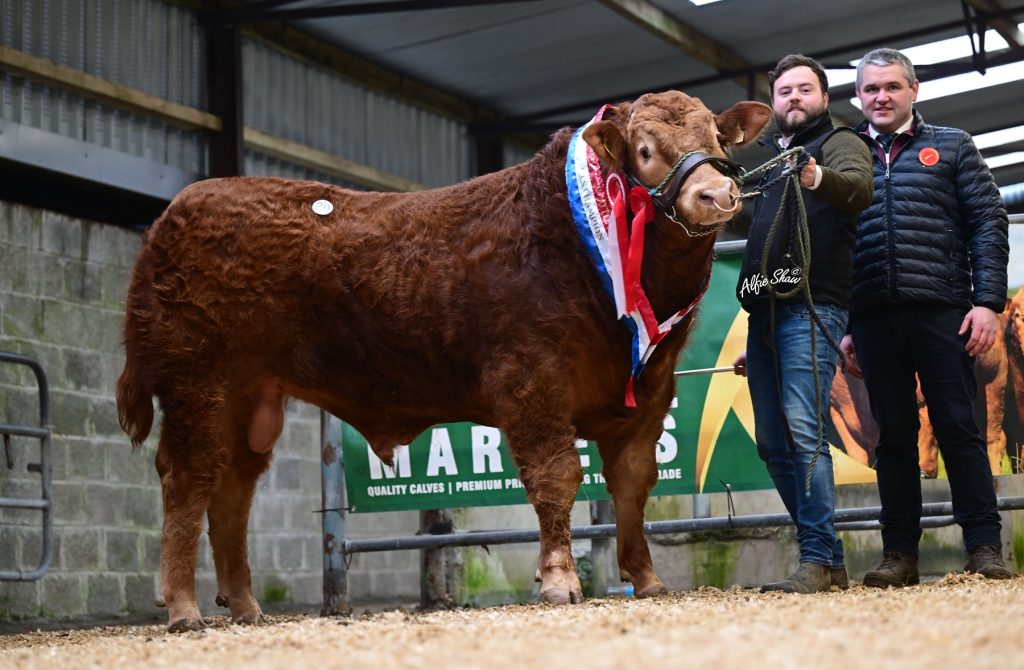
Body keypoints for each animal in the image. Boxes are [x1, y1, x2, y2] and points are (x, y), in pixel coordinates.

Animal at [116, 91, 772, 632]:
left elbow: (633, 485)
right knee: (188, 480)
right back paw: (183, 608)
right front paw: (559, 580)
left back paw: (246, 607)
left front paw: (647, 578)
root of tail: (174, 214)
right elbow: (557, 477)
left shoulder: (650, 391)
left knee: (233, 489)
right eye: (645, 150)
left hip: (253, 400)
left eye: (719, 142)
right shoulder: (532, 379)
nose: (716, 195)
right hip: (198, 383)